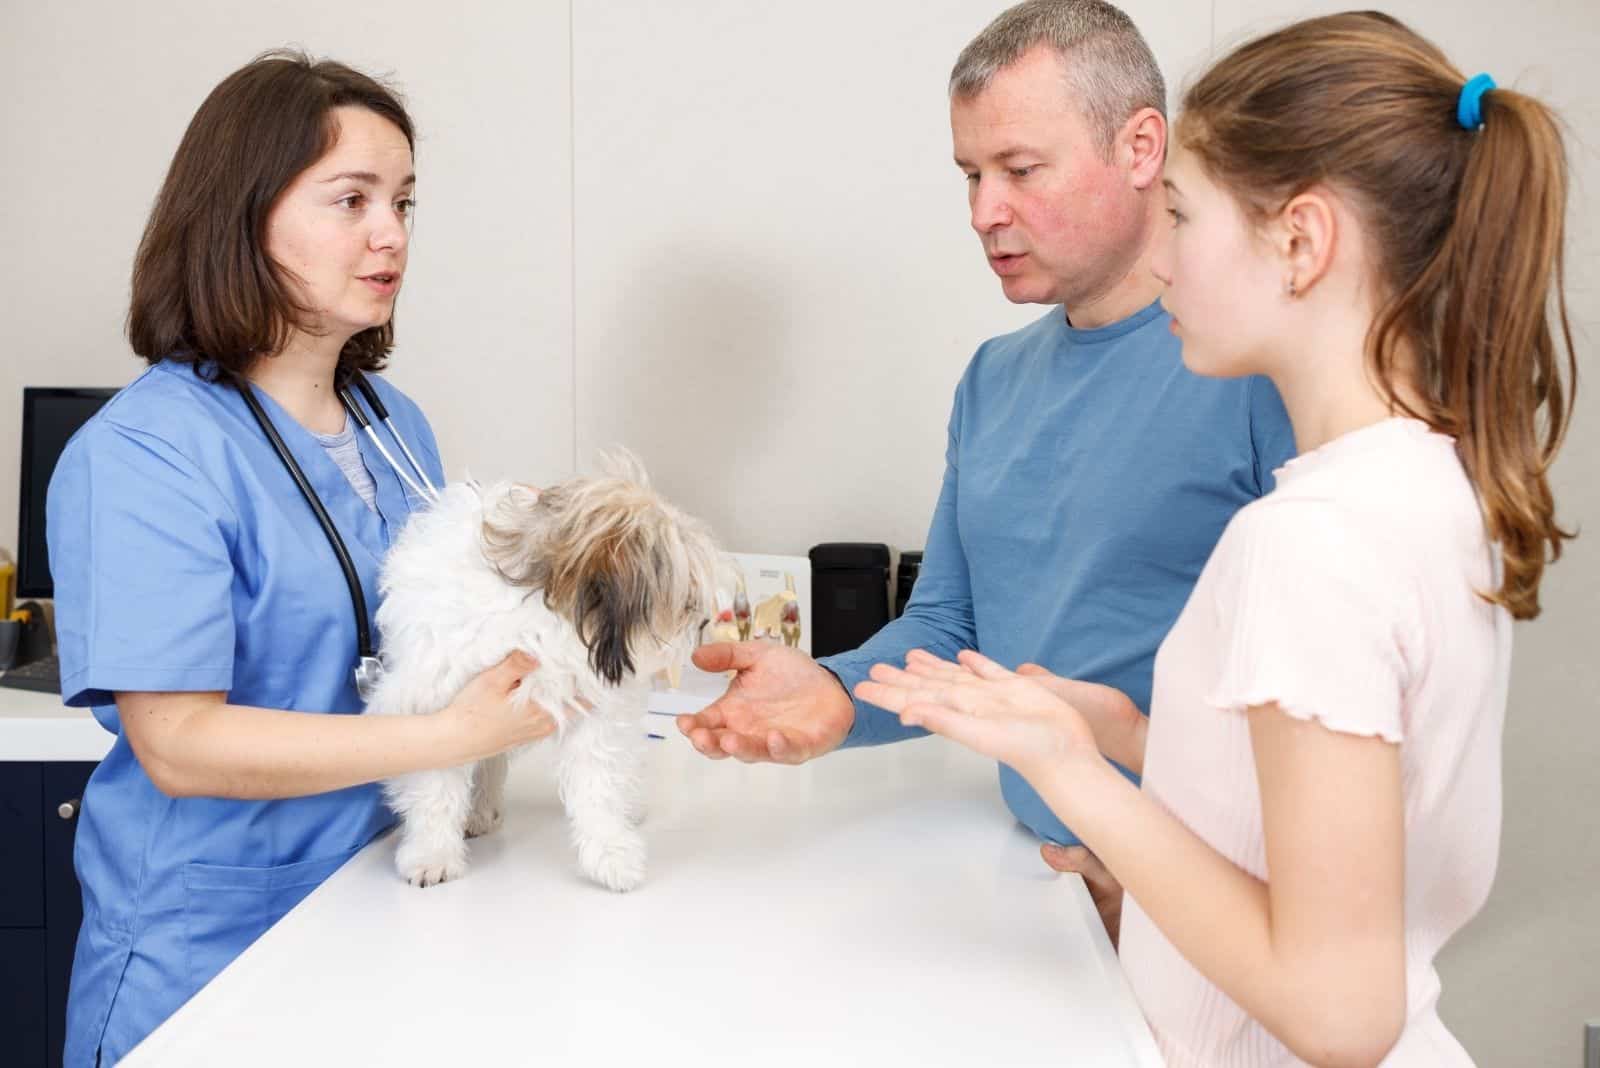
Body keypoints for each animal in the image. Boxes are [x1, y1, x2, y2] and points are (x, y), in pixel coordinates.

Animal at [368, 454, 720, 895]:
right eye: (683, 597)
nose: (703, 620)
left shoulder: (593, 710)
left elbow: (598, 787)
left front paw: (611, 853)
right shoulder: (439, 702)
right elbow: (436, 788)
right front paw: (431, 854)